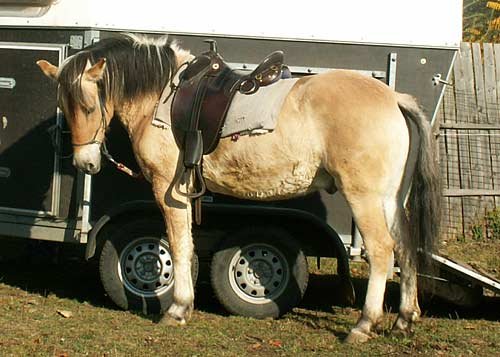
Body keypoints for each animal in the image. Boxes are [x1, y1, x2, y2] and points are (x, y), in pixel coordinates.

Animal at [37, 34, 440, 342]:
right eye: (64, 106)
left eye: (90, 106)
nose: (85, 163)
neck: (163, 96)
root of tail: (394, 99)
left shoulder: (171, 191)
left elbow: (179, 248)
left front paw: (178, 309)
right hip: (391, 200)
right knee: (406, 249)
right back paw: (404, 319)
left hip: (365, 198)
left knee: (383, 252)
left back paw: (364, 324)